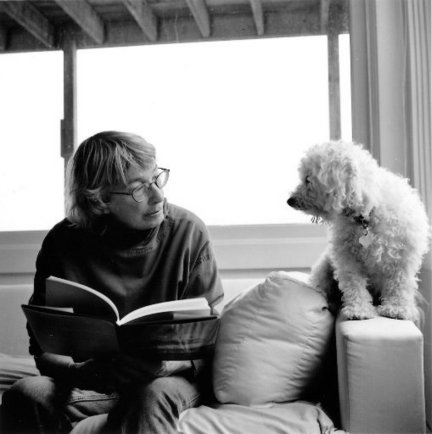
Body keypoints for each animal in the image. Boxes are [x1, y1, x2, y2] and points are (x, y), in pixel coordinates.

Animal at [286, 141, 428, 320]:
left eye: (307, 179)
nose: (289, 200)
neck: (367, 216)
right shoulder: (348, 257)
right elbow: (354, 284)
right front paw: (359, 310)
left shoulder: (403, 257)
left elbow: (399, 283)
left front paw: (397, 308)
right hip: (324, 268)